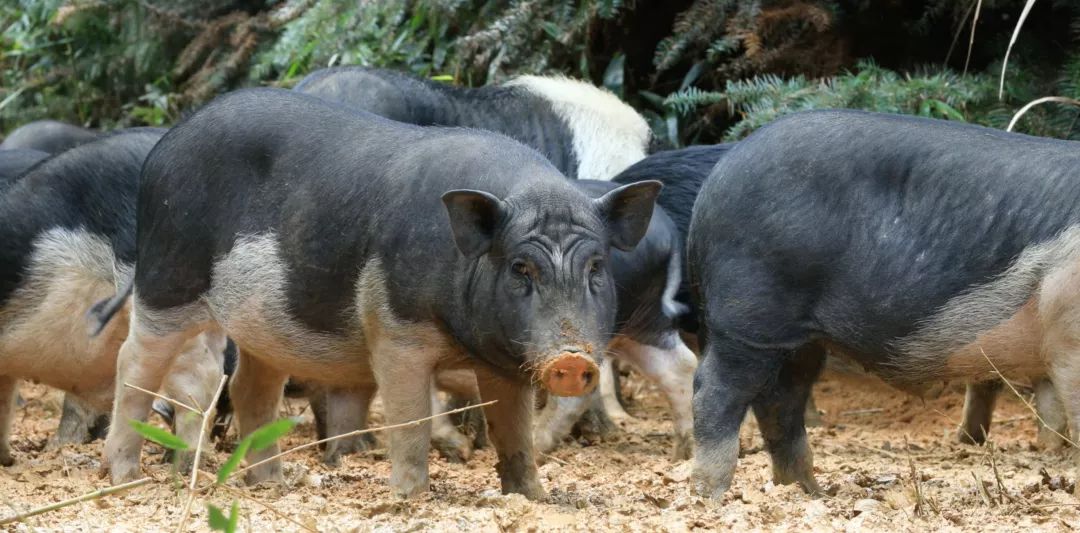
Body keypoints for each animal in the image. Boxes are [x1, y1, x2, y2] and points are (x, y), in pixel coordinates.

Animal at [99, 88, 656, 500]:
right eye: (522, 268)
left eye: (597, 267)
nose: (571, 360)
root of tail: (166, 145)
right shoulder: (396, 330)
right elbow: (409, 418)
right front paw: (410, 497)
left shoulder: (504, 359)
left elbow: (514, 431)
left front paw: (532, 496)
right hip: (167, 278)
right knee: (134, 365)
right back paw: (125, 479)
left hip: (262, 325)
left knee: (250, 389)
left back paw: (273, 485)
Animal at [686, 110, 1080, 498]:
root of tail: (711, 188)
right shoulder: (1068, 333)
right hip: (748, 313)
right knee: (716, 390)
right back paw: (712, 496)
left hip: (802, 339)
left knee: (780, 400)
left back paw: (811, 492)